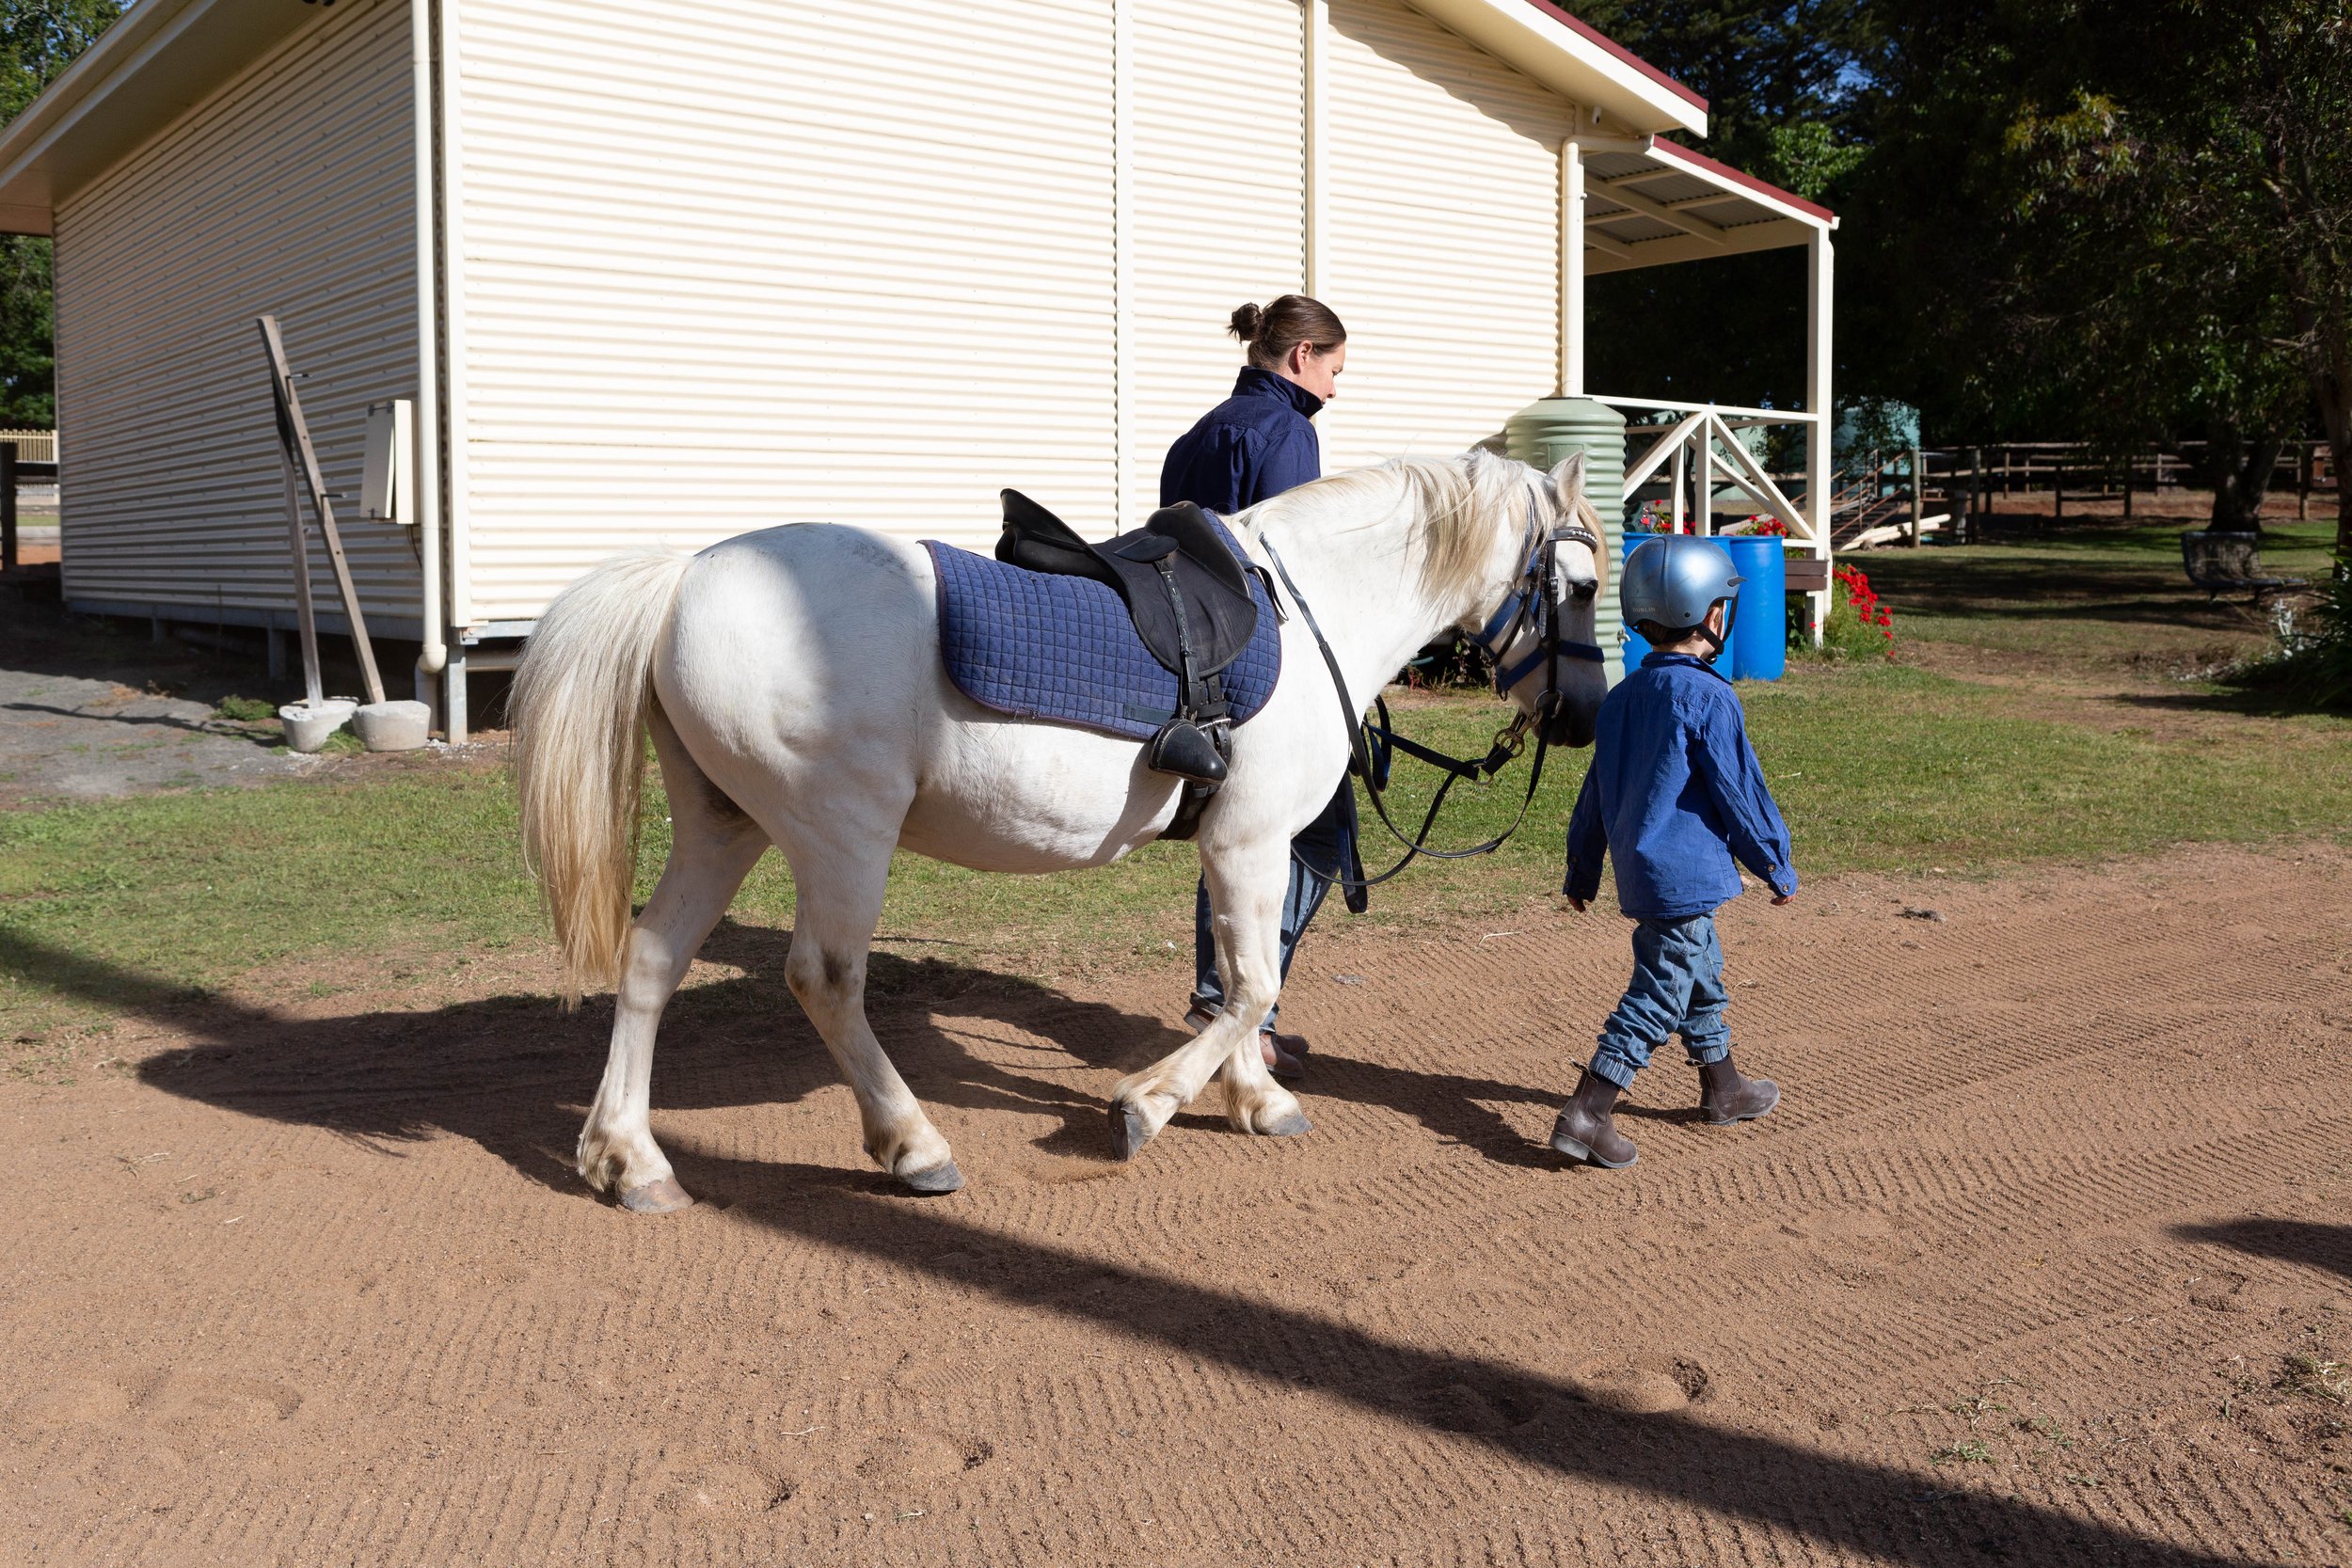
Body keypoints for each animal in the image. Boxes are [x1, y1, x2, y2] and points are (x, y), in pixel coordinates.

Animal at [509, 448, 1608, 1212]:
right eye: (1587, 584)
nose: (1587, 717)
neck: (1309, 614)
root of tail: (684, 575)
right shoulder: (1250, 841)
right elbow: (1252, 985)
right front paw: (1147, 1105)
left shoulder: (1234, 851)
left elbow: (1243, 978)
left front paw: (1257, 1100)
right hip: (840, 838)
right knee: (825, 980)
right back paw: (913, 1144)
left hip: (723, 825)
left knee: (650, 961)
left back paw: (628, 1158)